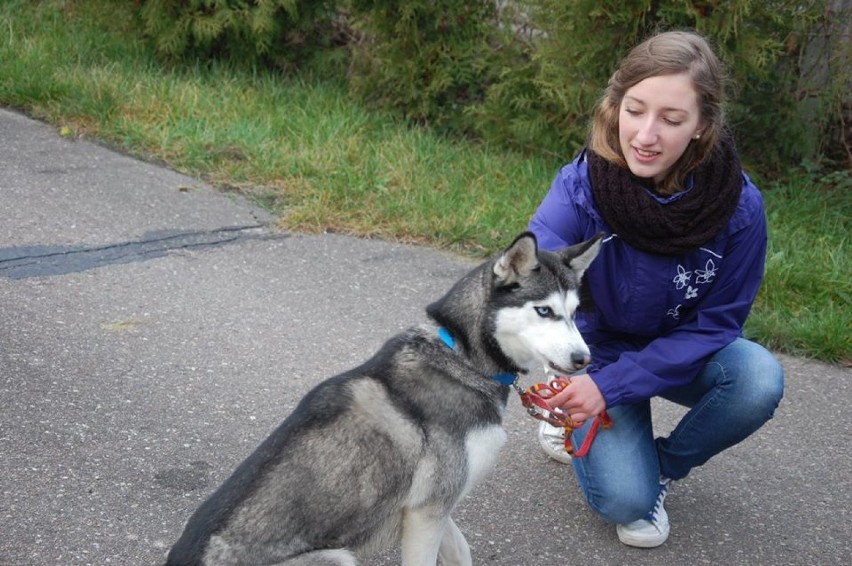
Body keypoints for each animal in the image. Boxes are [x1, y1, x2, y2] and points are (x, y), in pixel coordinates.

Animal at [166, 232, 604, 566]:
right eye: (544, 311)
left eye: (574, 312)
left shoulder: (433, 507)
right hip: (338, 557)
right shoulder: (428, 511)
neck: (461, 356)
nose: (584, 359)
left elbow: (460, 551)